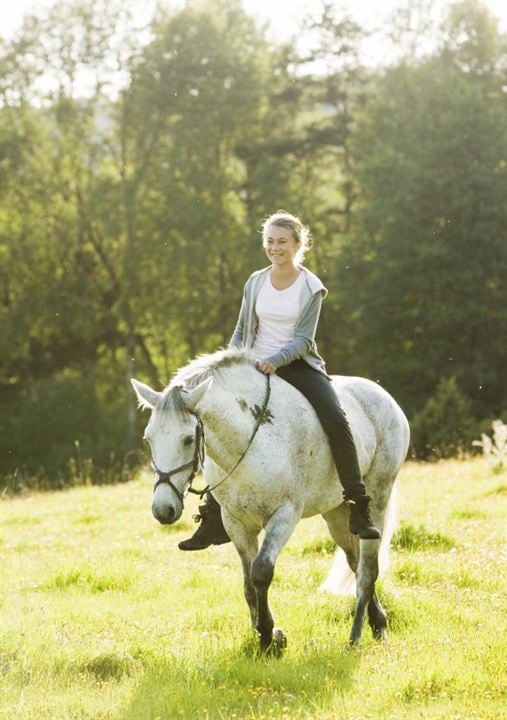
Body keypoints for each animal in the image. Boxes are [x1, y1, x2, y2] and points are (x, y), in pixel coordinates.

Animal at [133, 348, 410, 652]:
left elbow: (261, 572)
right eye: (148, 439)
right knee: (354, 560)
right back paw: (378, 623)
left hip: (378, 497)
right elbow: (247, 584)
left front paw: (269, 637)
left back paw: (357, 636)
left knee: (367, 569)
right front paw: (266, 635)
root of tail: (384, 396)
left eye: (186, 439)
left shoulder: (284, 515)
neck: (249, 441)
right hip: (337, 513)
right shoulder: (236, 522)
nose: (163, 510)